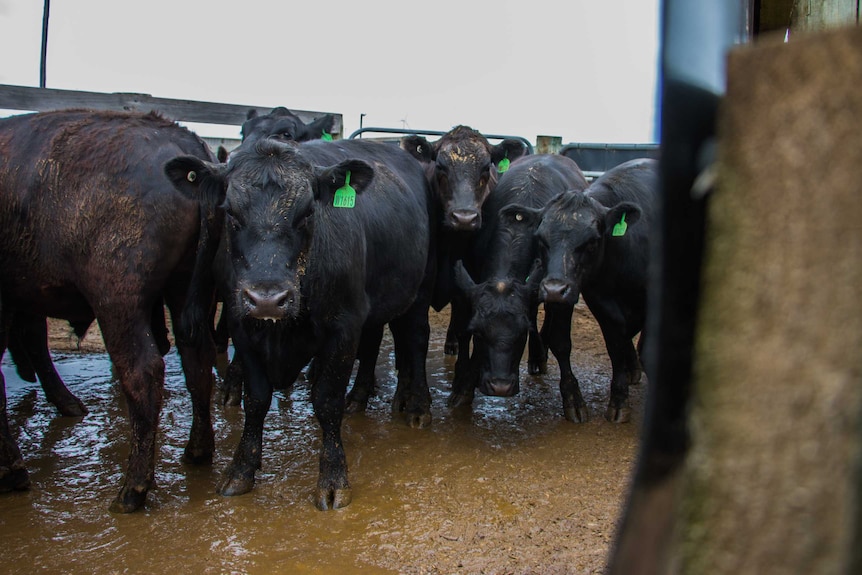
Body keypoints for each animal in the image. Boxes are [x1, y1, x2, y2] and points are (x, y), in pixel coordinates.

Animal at [0, 109, 216, 512]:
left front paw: (12, 470)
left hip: (117, 299)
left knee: (143, 372)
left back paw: (132, 489)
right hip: (183, 292)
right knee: (197, 361)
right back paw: (196, 451)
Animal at [167, 137, 438, 510]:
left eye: (308, 212)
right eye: (231, 213)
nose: (267, 298)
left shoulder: (343, 328)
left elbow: (326, 400)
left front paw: (333, 478)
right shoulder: (241, 327)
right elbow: (257, 399)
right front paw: (241, 469)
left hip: (418, 290)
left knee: (415, 339)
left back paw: (418, 406)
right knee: (372, 344)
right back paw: (360, 396)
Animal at [448, 153, 592, 416]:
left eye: (521, 333)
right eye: (479, 332)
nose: (500, 387)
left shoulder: (561, 290)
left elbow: (561, 342)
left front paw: (573, 398)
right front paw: (464, 386)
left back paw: (538, 357)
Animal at [536, 158, 660, 424]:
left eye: (592, 240)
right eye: (540, 239)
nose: (554, 289)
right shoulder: (602, 302)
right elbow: (614, 347)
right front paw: (618, 401)